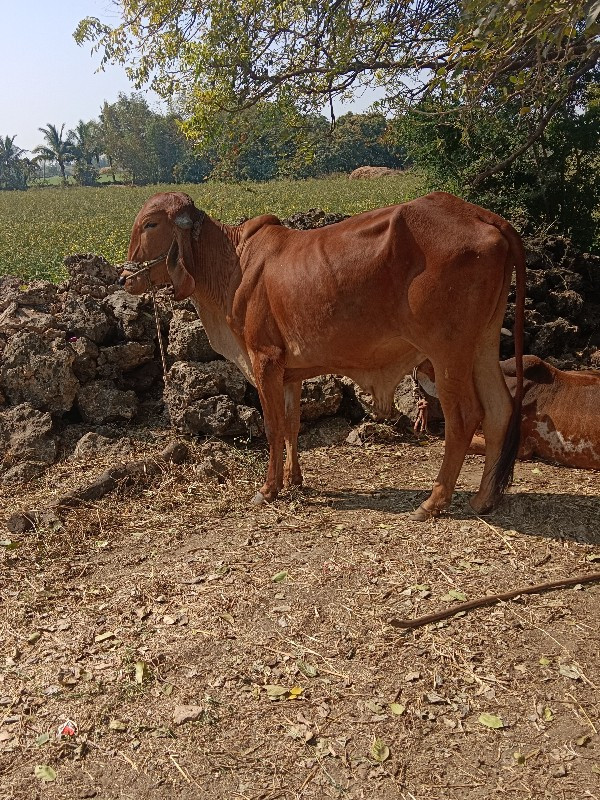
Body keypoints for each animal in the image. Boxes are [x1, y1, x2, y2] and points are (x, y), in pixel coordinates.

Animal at [119, 191, 524, 520]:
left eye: (151, 224)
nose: (125, 278)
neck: (233, 264)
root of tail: (485, 217)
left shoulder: (264, 359)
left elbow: (273, 426)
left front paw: (269, 489)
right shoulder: (289, 372)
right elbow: (292, 425)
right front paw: (294, 480)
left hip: (447, 352)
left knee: (465, 418)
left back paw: (433, 502)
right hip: (482, 344)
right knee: (500, 409)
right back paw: (484, 499)